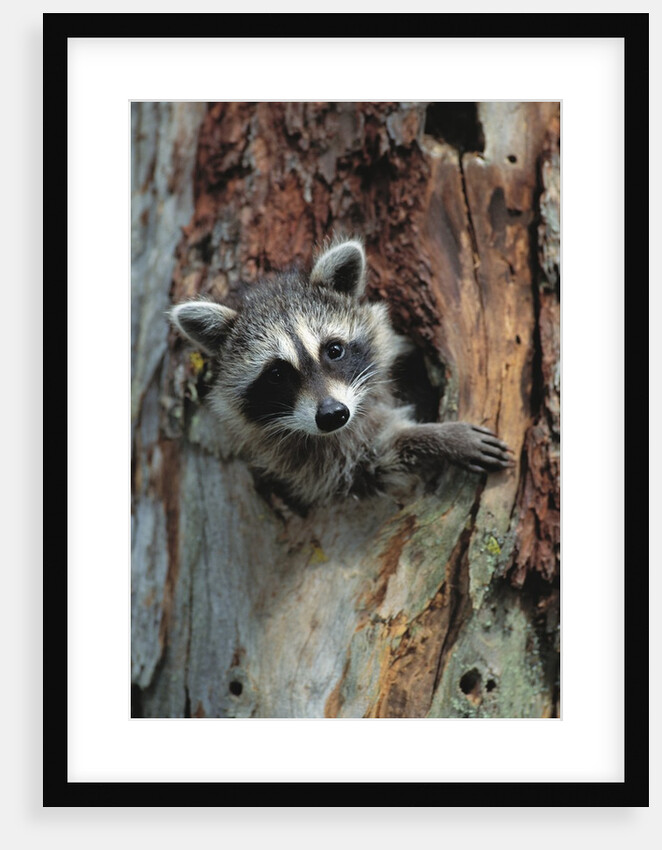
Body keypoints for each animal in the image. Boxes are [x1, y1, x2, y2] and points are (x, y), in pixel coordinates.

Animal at [170, 238, 514, 511]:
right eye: (276, 374)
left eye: (334, 350)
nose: (333, 414)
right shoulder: (307, 461)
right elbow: (374, 463)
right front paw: (437, 438)